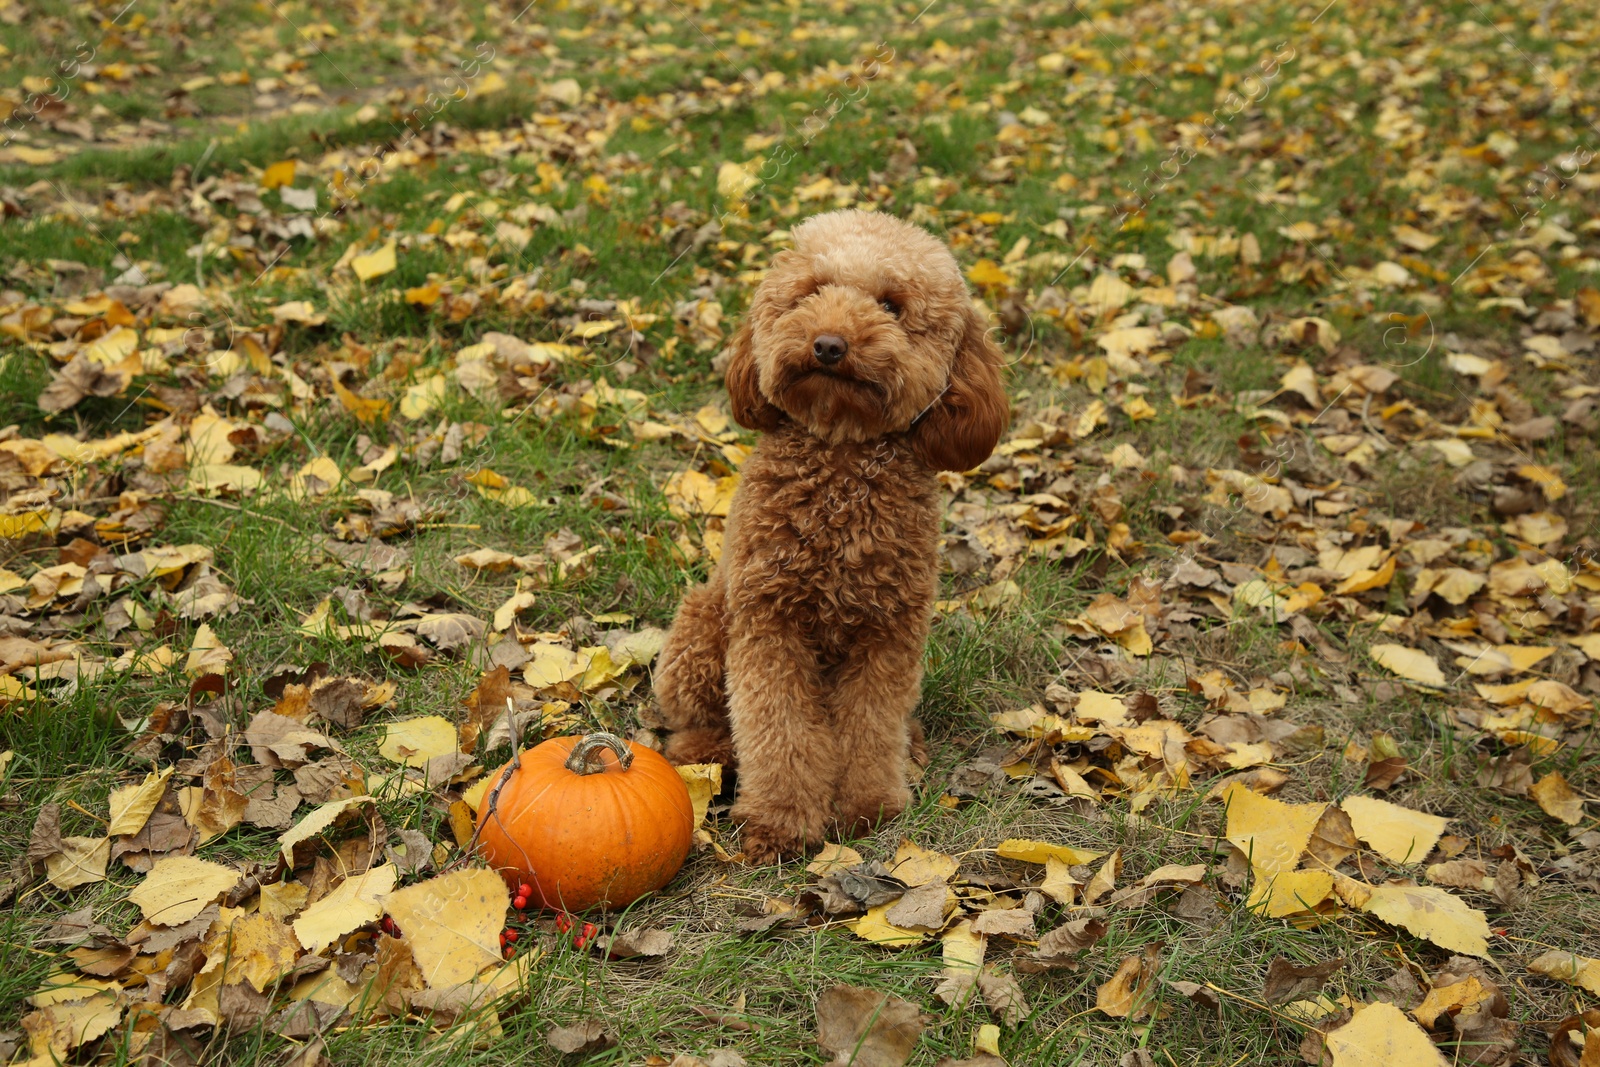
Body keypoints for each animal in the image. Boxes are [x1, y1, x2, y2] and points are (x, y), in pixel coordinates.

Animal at [646, 211, 998, 870]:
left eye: (891, 305)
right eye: (810, 291)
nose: (829, 345)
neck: (840, 459)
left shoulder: (888, 635)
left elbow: (869, 726)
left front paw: (869, 809)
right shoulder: (769, 626)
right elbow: (779, 732)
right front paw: (780, 824)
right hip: (703, 627)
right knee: (700, 720)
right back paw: (705, 756)